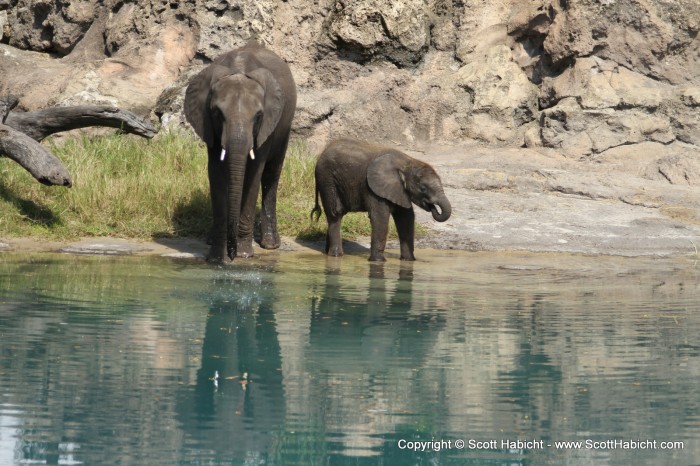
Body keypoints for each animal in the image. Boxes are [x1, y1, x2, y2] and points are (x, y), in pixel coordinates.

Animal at [183, 41, 296, 260]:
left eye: (258, 115)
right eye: (217, 113)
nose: (232, 252)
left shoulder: (266, 126)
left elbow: (254, 173)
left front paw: (244, 254)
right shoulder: (208, 124)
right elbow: (216, 173)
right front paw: (216, 257)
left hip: (284, 124)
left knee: (271, 174)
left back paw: (270, 245)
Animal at [310, 138, 452, 262]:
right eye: (423, 188)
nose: (433, 208)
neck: (407, 163)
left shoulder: (398, 190)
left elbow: (406, 218)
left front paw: (409, 261)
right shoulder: (373, 188)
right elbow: (380, 217)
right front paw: (378, 262)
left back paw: (327, 252)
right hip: (327, 180)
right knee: (335, 214)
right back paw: (336, 256)